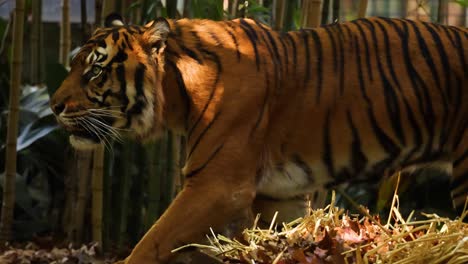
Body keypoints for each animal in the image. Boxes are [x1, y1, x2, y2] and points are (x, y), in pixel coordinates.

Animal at [49, 14, 466, 264]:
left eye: (95, 71)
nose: (53, 106)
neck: (177, 94)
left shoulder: (216, 186)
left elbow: (149, 243)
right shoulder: (278, 196)